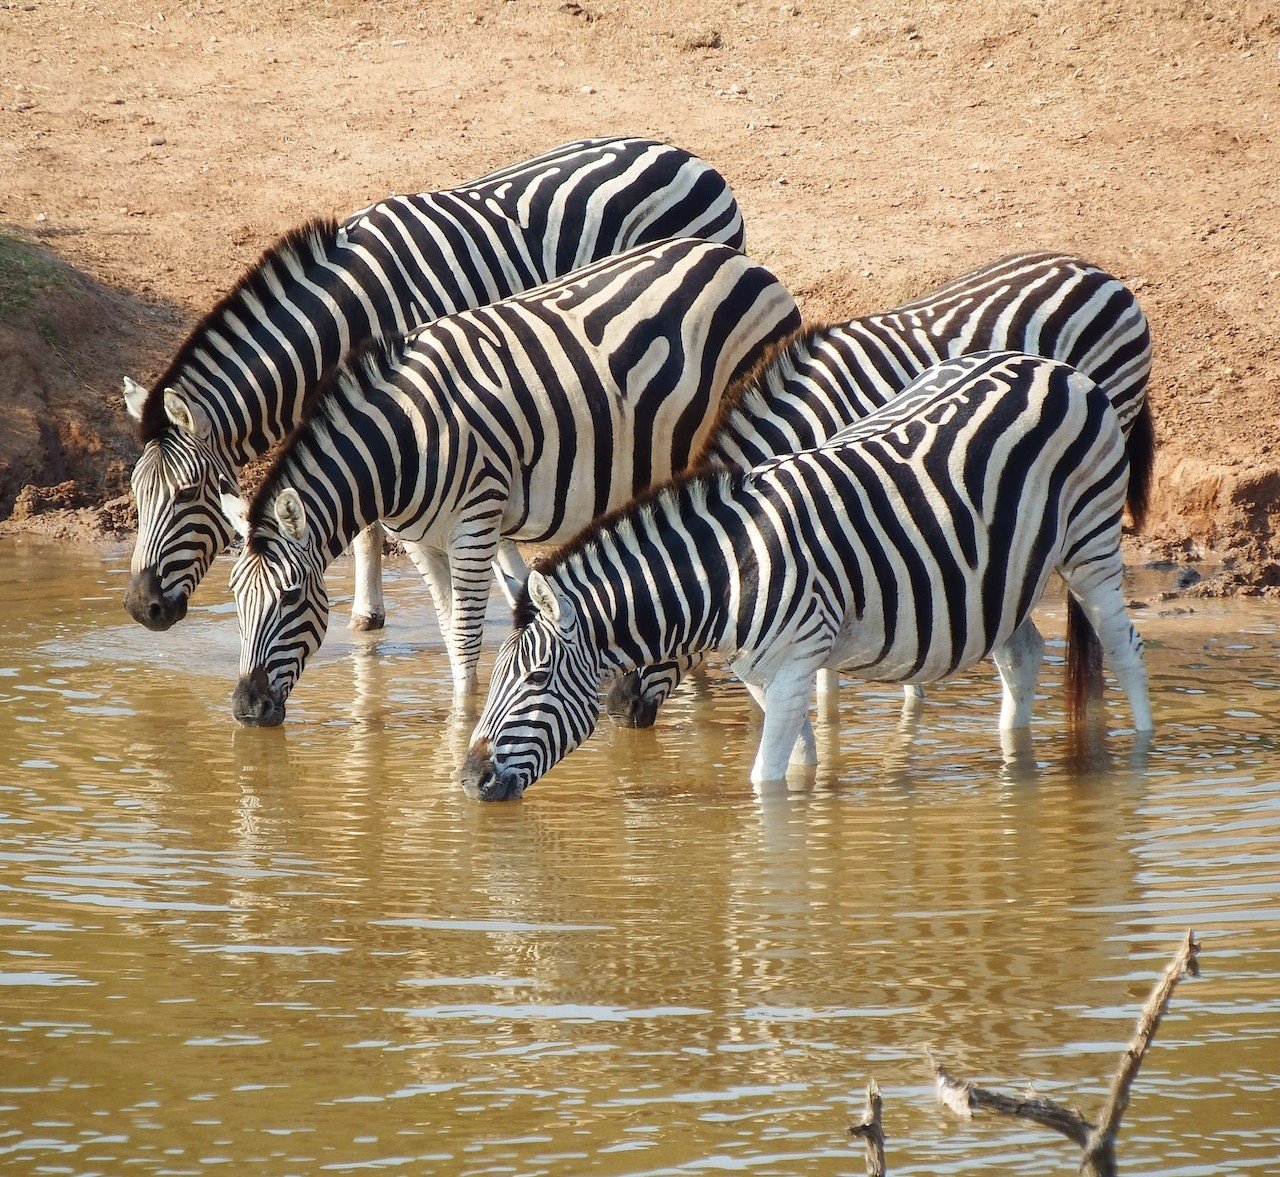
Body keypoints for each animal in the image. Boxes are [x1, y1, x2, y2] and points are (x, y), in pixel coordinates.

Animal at [122, 136, 747, 633]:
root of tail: (690, 157)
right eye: (135, 492)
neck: (343, 315)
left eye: (186, 494)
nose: (138, 609)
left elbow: (383, 522)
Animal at [216, 236, 801, 726]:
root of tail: (742, 261)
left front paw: (461, 724)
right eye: (236, 598)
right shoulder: (421, 540)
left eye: (291, 598)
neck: (403, 443)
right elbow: (449, 631)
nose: (246, 708)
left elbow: (466, 637)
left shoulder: (475, 524)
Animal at [460, 350, 1153, 798]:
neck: (728, 569)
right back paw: (1016, 760)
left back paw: (1141, 756)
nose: (469, 780)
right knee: (1024, 654)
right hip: (1000, 578)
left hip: (1091, 542)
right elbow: (798, 766)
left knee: (1124, 650)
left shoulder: (797, 662)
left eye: (536, 678)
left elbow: (765, 780)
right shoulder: (765, 675)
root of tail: (1055, 367)